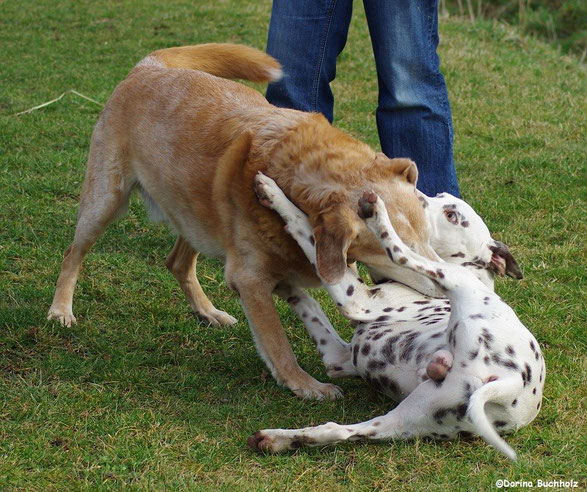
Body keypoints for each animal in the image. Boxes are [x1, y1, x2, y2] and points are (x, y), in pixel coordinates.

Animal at [48, 43, 438, 400]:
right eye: (393, 250)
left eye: (428, 239)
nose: (447, 281)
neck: (295, 170)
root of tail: (149, 66)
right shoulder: (249, 280)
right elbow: (278, 344)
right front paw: (305, 385)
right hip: (105, 202)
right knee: (72, 254)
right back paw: (60, 310)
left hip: (197, 219)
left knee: (176, 263)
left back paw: (208, 312)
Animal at [249, 176, 548, 462]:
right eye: (440, 195)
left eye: (451, 214)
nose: (414, 193)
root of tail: (511, 383)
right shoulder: (338, 357)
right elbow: (306, 302)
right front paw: (282, 284)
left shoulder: (356, 300)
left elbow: (303, 227)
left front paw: (273, 192)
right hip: (406, 416)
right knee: (336, 431)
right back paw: (277, 439)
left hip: (452, 278)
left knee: (400, 251)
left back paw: (376, 213)